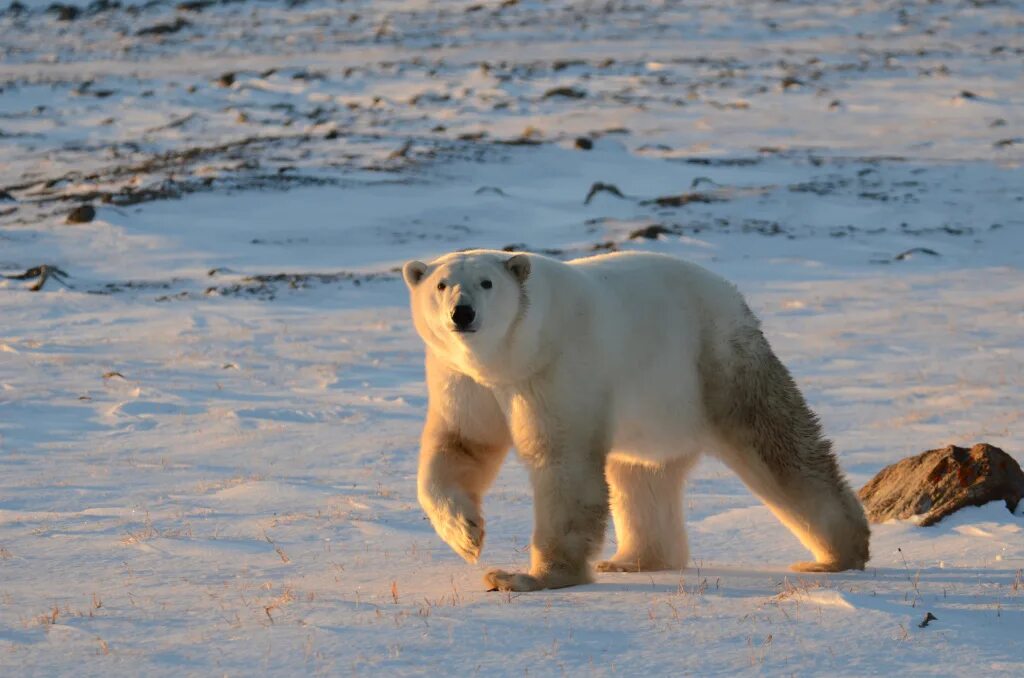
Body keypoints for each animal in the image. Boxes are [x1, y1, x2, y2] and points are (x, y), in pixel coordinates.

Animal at [403, 250, 868, 594]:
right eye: (441, 285)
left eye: (487, 283)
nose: (462, 314)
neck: (512, 356)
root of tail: (733, 295)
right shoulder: (462, 377)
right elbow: (460, 444)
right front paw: (466, 534)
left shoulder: (557, 368)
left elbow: (562, 462)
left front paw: (527, 577)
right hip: (656, 407)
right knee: (641, 475)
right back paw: (634, 560)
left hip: (715, 363)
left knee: (780, 447)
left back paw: (836, 556)